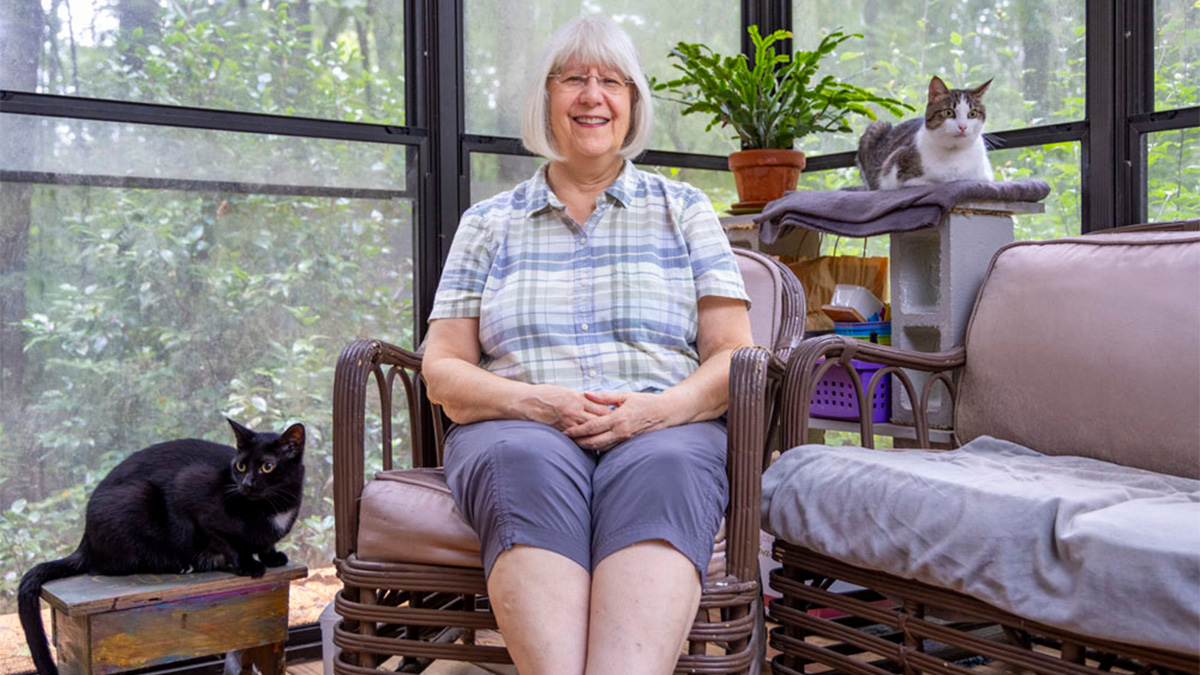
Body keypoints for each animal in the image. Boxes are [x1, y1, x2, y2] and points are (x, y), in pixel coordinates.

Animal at [18, 415, 304, 672]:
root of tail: (85, 541)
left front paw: (272, 556)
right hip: (138, 497)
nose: (245, 484)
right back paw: (182, 565)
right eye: (241, 467)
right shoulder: (189, 490)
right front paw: (247, 564)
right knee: (107, 566)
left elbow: (265, 545)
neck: (273, 507)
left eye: (267, 467)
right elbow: (227, 541)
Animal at [859, 76, 998, 189]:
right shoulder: (896, 173)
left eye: (972, 113)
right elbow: (935, 182)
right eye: (948, 112)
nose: (963, 126)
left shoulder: (984, 177)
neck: (954, 153)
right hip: (875, 128)